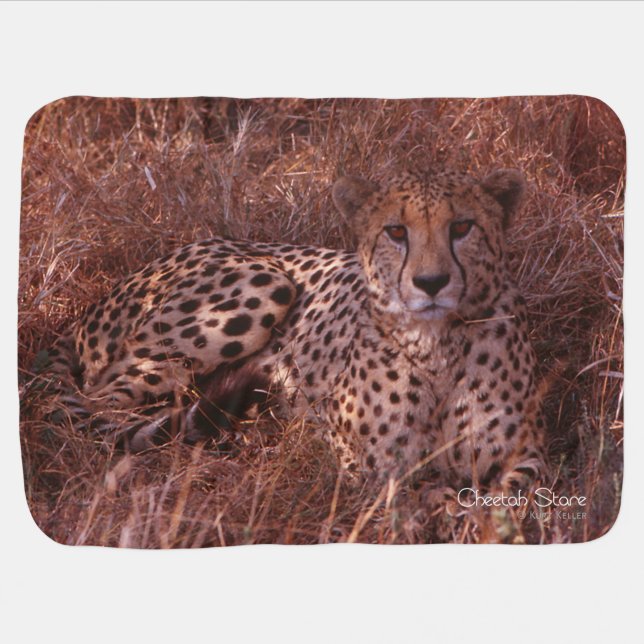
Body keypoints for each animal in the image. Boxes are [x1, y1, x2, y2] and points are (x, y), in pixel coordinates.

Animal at [38, 167, 547, 489]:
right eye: (396, 232)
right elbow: (420, 493)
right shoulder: (364, 464)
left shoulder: (529, 455)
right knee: (96, 406)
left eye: (462, 227)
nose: (431, 282)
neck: (436, 345)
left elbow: (515, 496)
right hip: (264, 285)